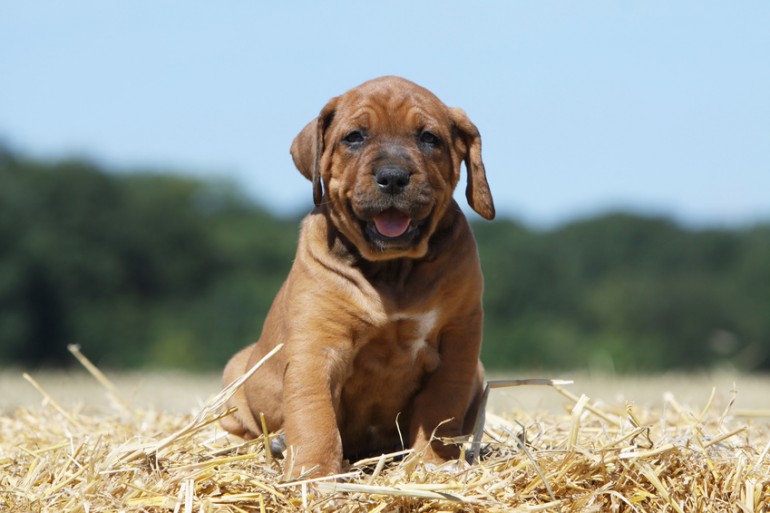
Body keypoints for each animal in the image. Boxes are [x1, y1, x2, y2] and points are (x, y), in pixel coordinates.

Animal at [220, 76, 498, 476]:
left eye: (428, 138)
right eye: (354, 137)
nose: (393, 177)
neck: (392, 271)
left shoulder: (458, 340)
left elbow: (440, 409)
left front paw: (431, 463)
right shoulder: (315, 348)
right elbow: (314, 416)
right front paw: (313, 473)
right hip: (236, 369)